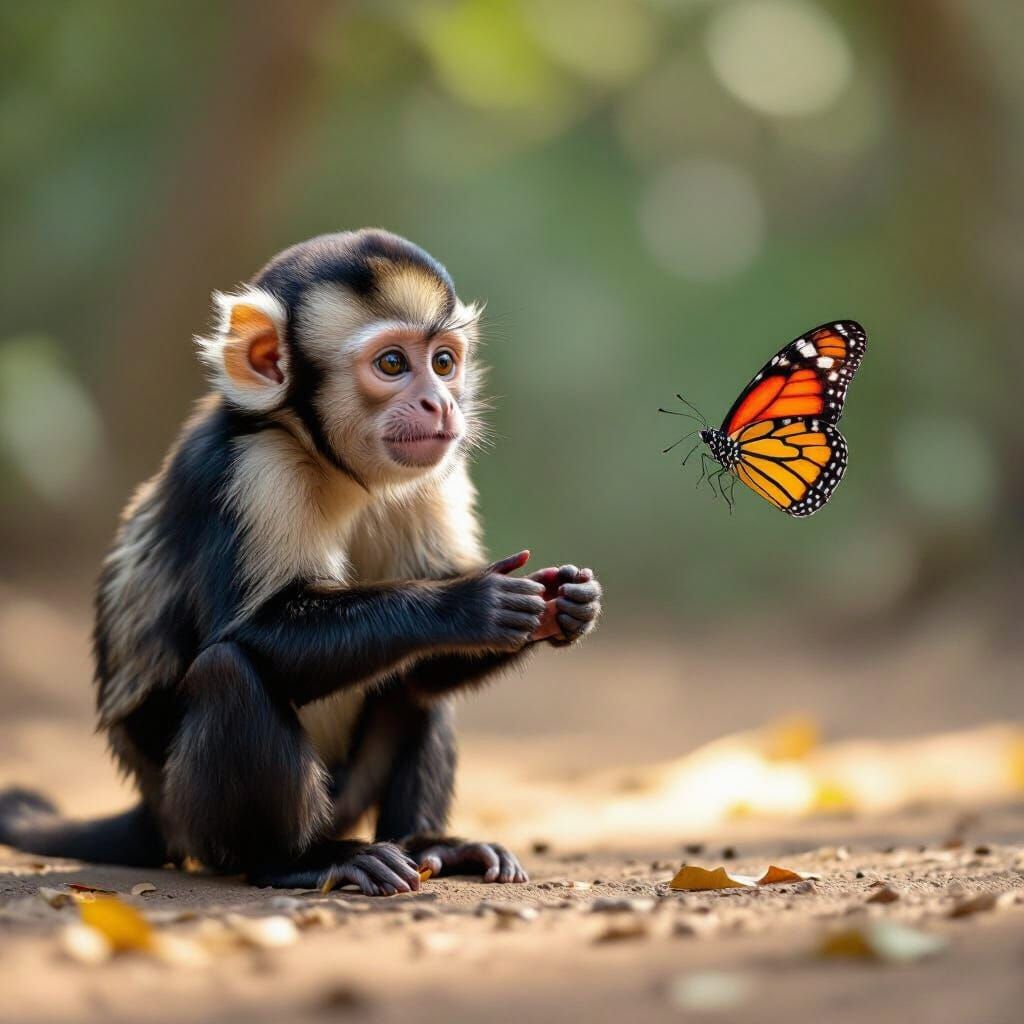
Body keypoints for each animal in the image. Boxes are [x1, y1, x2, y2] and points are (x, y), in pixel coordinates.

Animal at [0, 229, 602, 894]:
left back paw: (429, 843)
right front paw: (467, 605)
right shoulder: (253, 473)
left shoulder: (435, 475)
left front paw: (563, 606)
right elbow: (254, 633)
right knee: (229, 672)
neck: (325, 459)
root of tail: (153, 812)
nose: (440, 402)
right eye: (394, 364)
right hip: (195, 815)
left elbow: (426, 671)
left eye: (444, 362)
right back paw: (297, 859)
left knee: (412, 687)